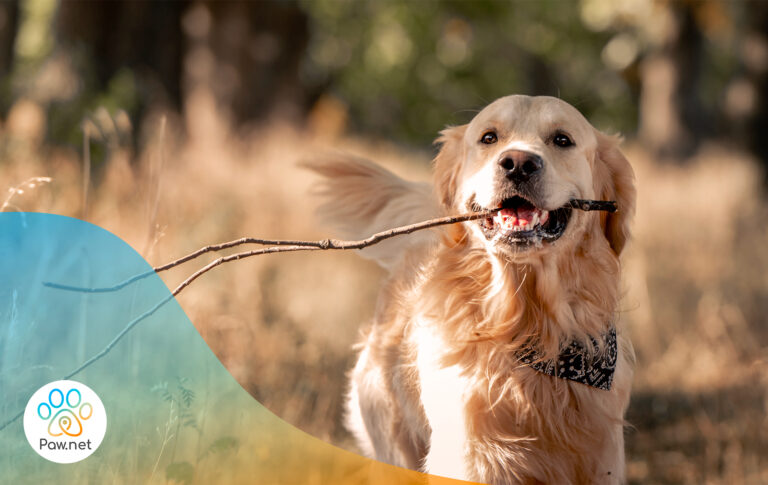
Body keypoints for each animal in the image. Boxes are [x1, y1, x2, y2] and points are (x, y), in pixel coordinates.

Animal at [306, 95, 636, 484]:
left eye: (562, 140)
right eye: (489, 137)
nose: (518, 164)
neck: (526, 325)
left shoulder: (602, 457)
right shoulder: (472, 457)